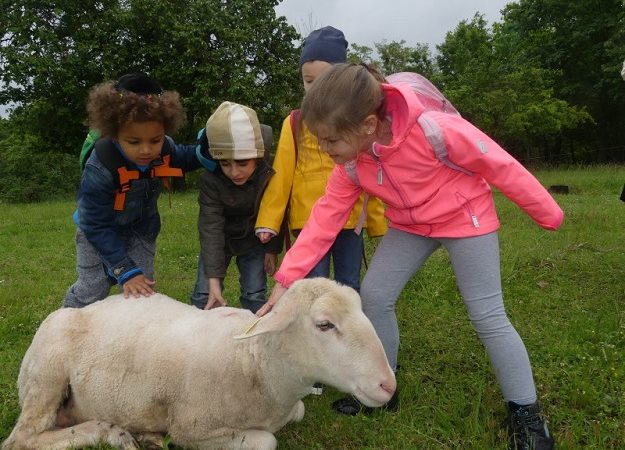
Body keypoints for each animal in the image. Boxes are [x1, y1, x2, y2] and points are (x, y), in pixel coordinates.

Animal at [2, 278, 394, 450]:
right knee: (21, 438)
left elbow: (298, 412)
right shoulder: (194, 430)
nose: (387, 385)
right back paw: (112, 433)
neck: (255, 365)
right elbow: (266, 441)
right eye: (324, 324)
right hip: (46, 374)